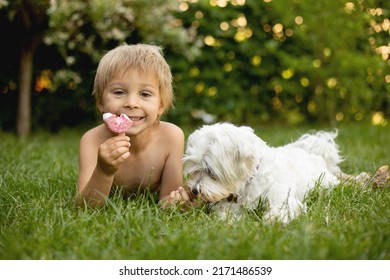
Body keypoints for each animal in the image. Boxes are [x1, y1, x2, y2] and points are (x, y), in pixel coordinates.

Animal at [184, 122, 356, 223]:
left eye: (209, 170)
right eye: (194, 169)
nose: (194, 190)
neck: (250, 180)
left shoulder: (284, 198)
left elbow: (282, 209)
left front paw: (274, 218)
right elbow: (225, 212)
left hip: (324, 183)